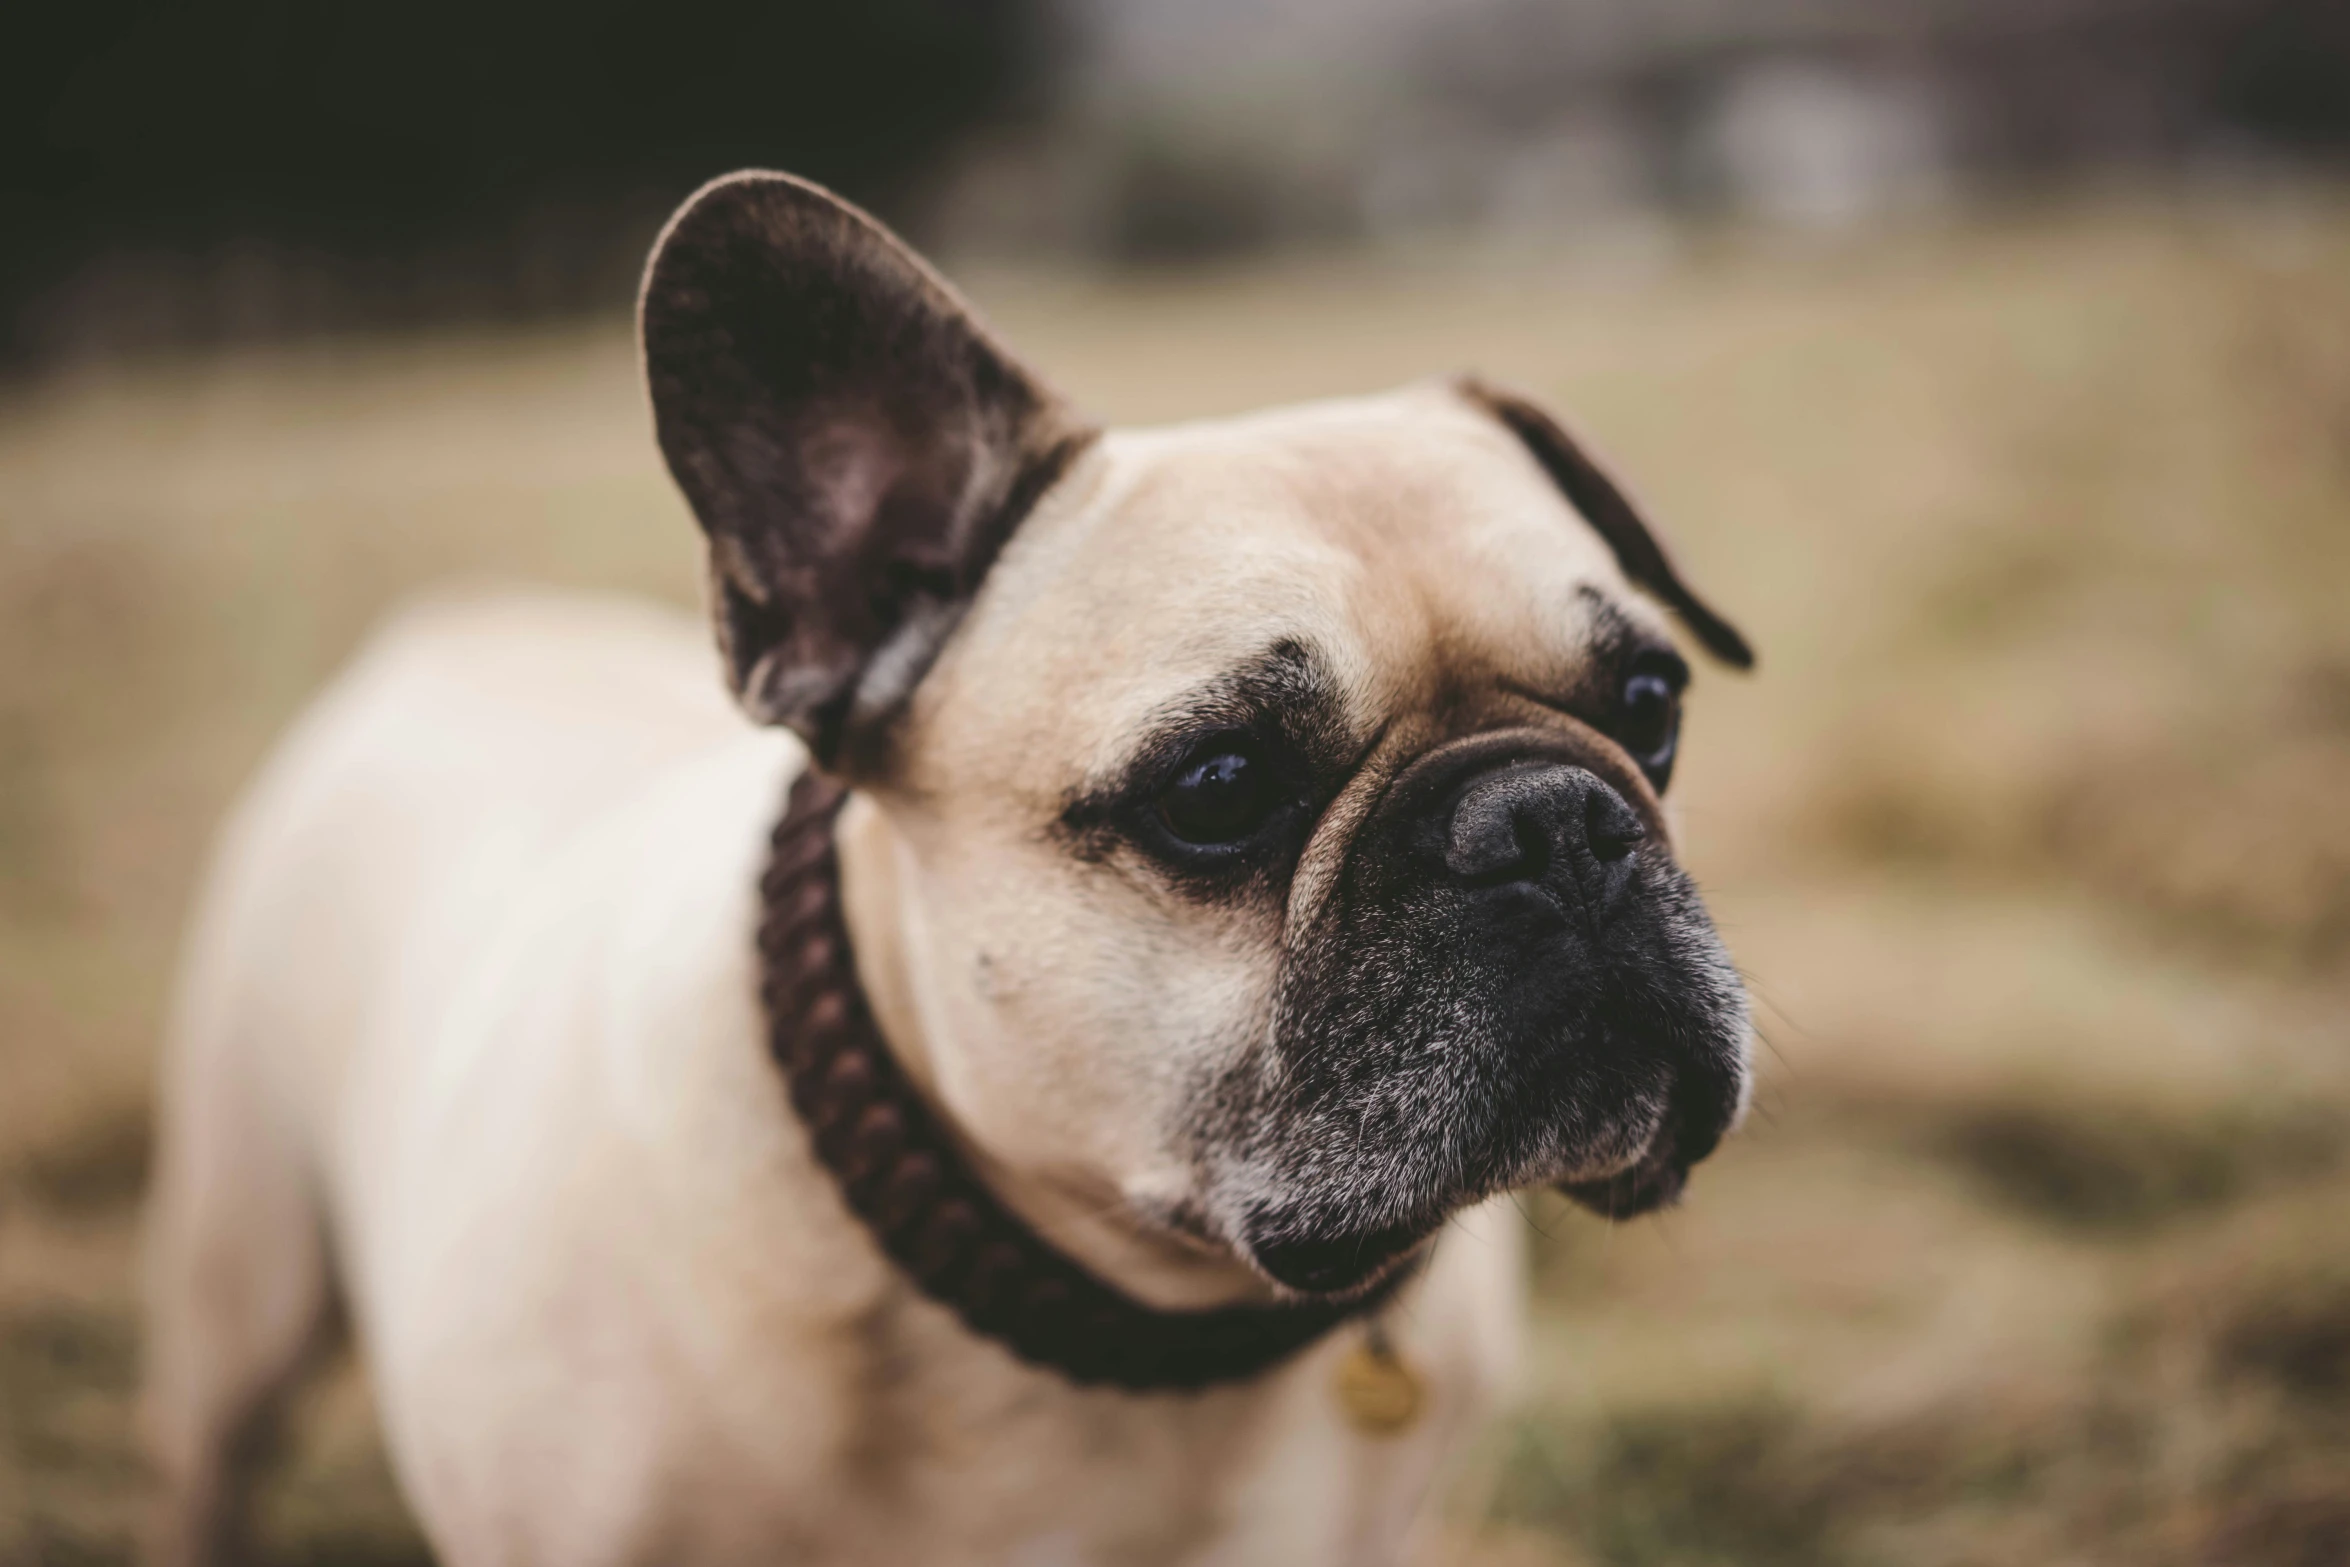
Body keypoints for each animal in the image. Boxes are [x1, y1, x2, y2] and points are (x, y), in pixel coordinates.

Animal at [146, 175, 1757, 1567]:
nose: (1555, 822)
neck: (1111, 1319)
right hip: (240, 1288)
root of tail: (461, 625)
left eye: (1650, 705)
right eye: (1221, 788)